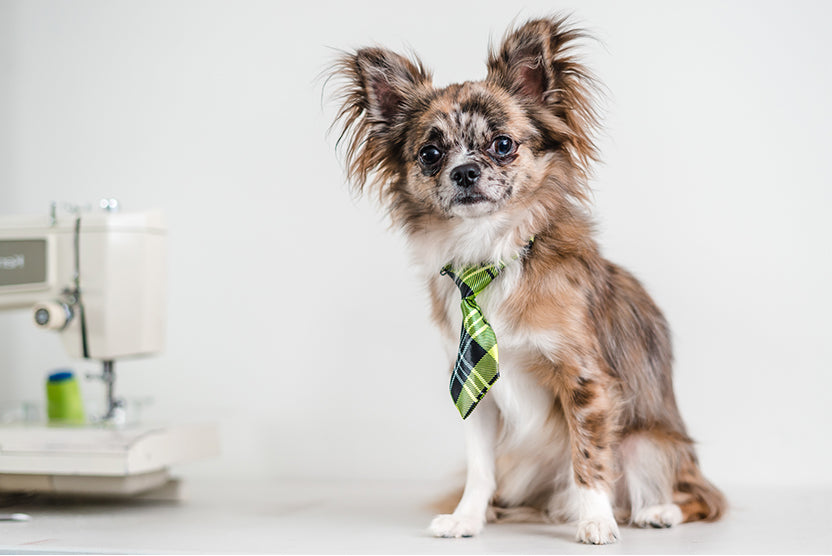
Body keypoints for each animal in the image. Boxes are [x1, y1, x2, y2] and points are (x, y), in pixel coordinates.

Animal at [328, 15, 724, 544]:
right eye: (430, 154)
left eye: (503, 145)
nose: (465, 171)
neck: (490, 254)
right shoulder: (476, 391)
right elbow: (480, 467)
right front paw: (468, 517)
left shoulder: (586, 382)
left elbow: (589, 458)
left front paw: (596, 521)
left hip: (648, 444)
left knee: (699, 496)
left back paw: (656, 511)